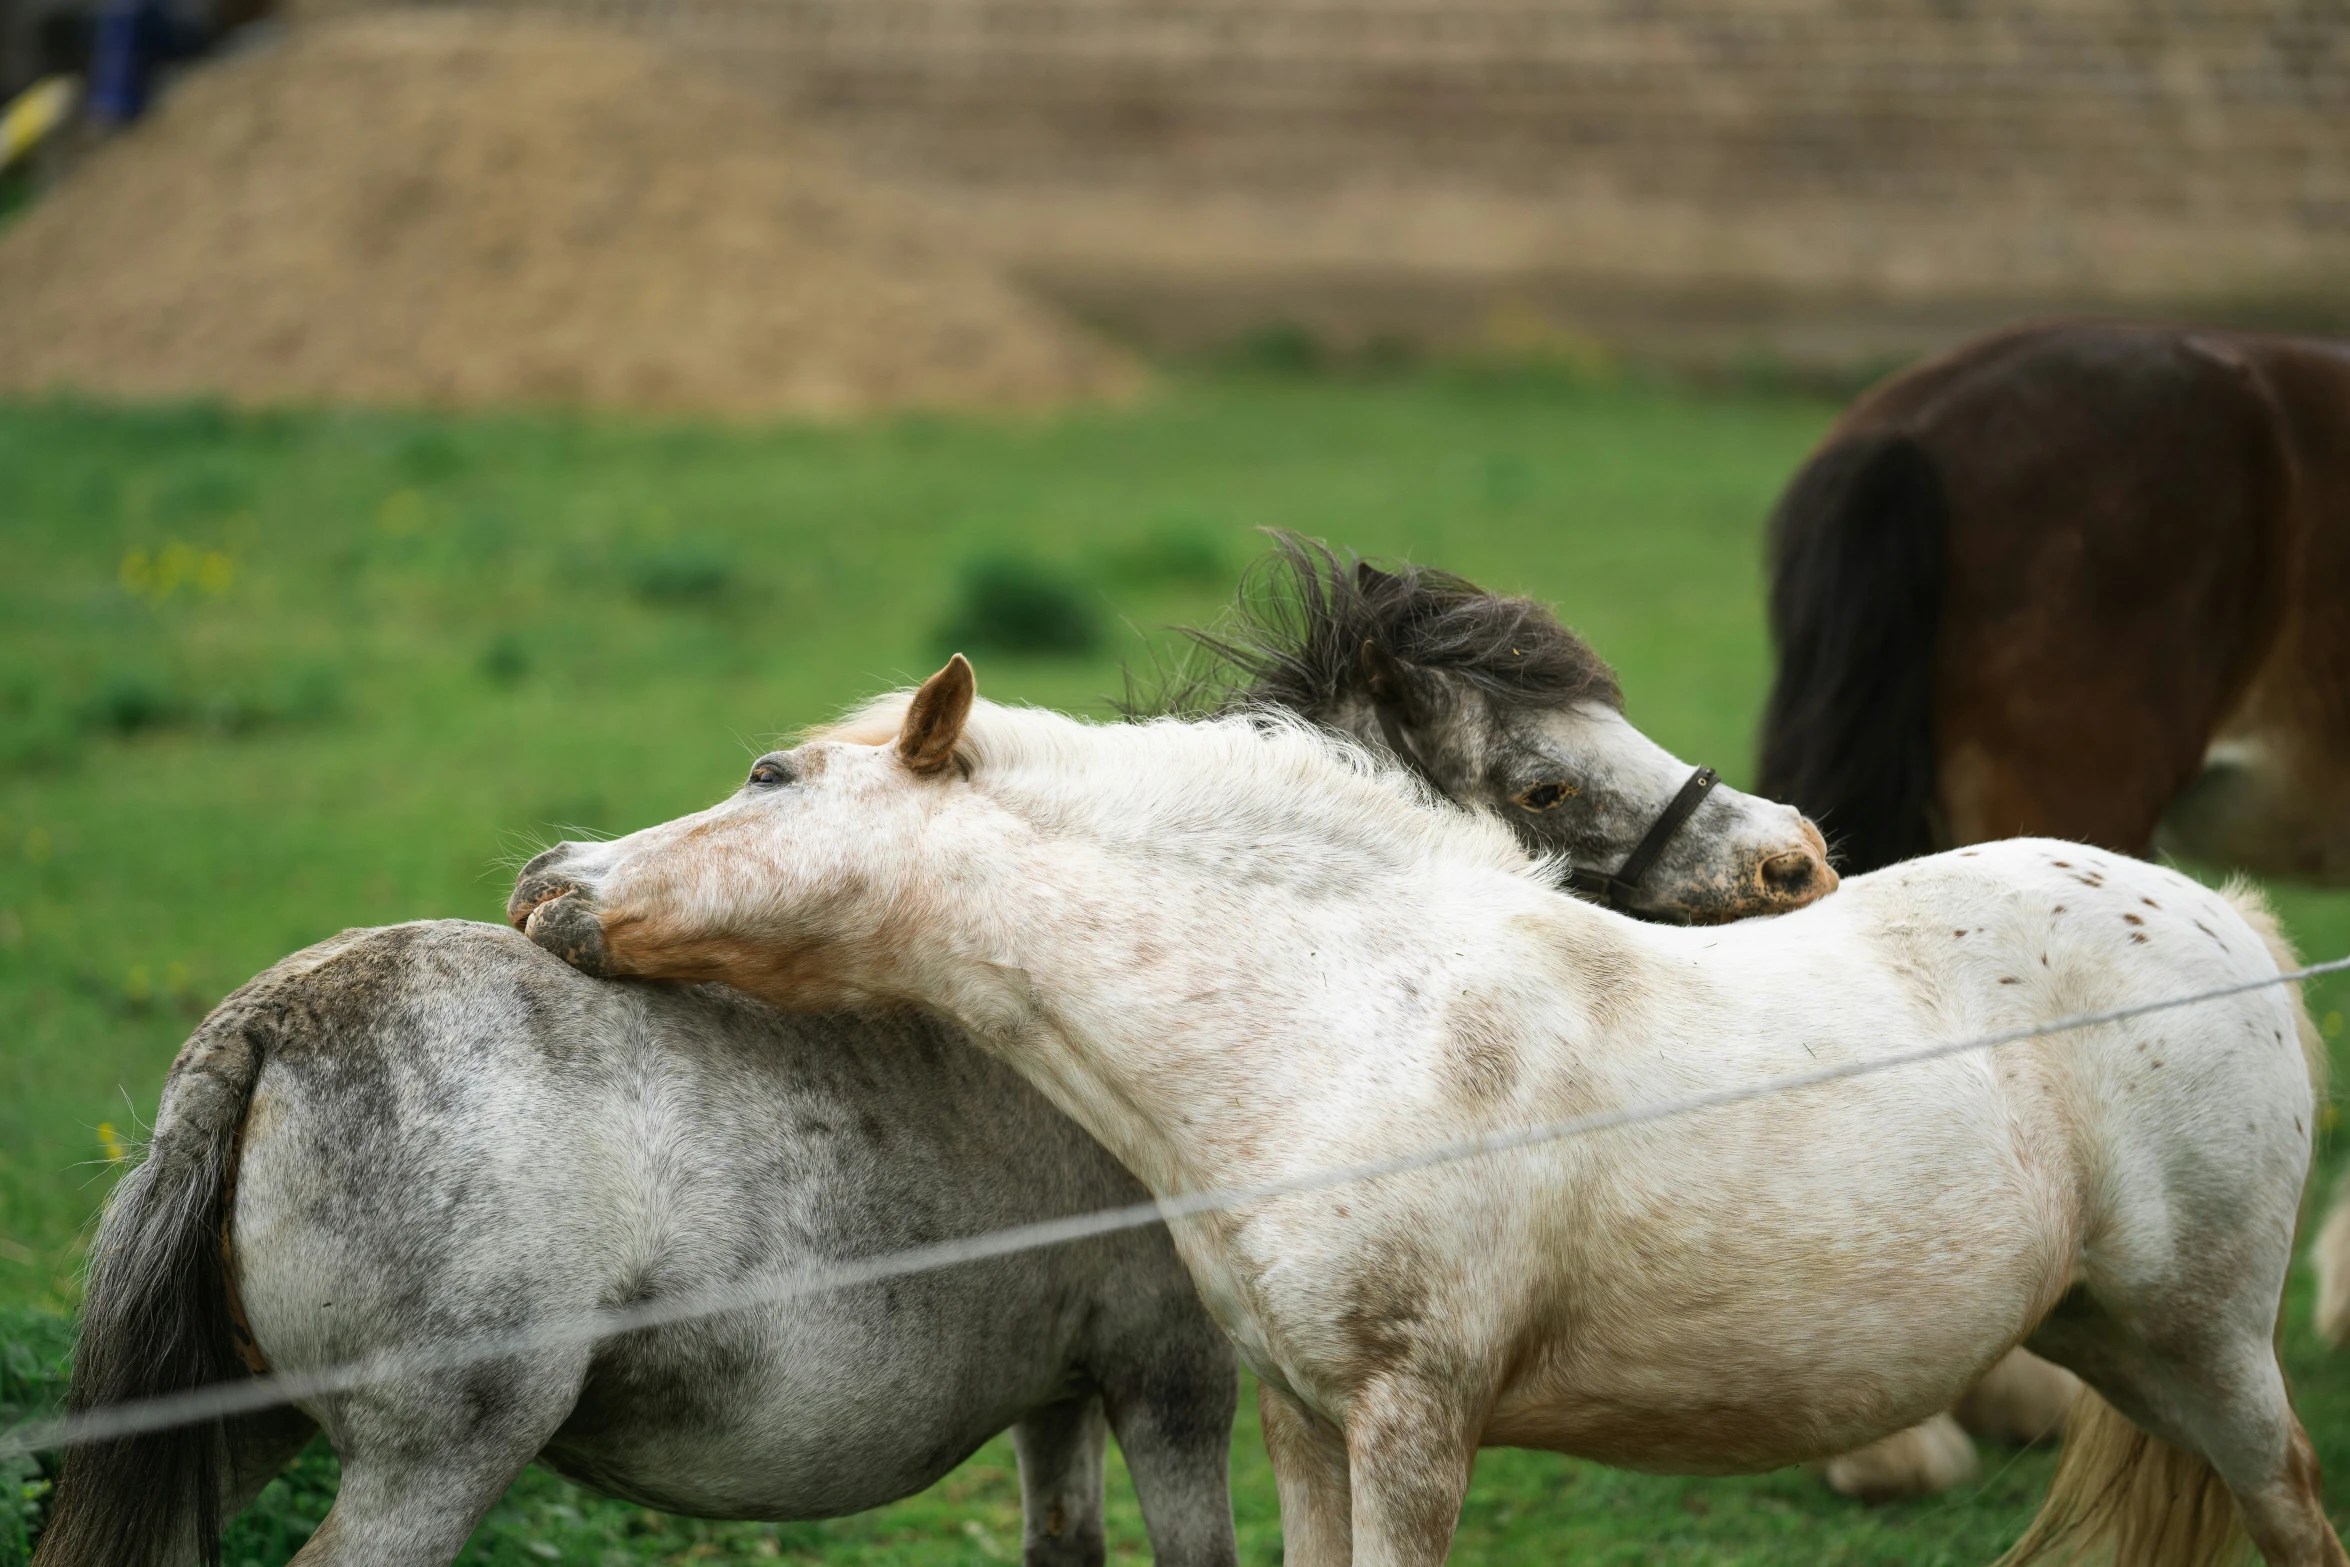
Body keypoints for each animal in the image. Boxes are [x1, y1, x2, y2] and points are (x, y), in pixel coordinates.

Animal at [41, 542, 1832, 1567]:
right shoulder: (1173, 1386)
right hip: (433, 1464)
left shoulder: (1058, 1400)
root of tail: (264, 1027)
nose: (1792, 857)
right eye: (1540, 784)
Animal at [509, 662, 2331, 1567]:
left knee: (2295, 1504)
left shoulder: (1412, 1426)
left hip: (2210, 1345)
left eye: (771, 777)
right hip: (2117, 1343)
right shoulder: (1303, 1417)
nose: (546, 876)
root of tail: (2224, 919)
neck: (1338, 1015)